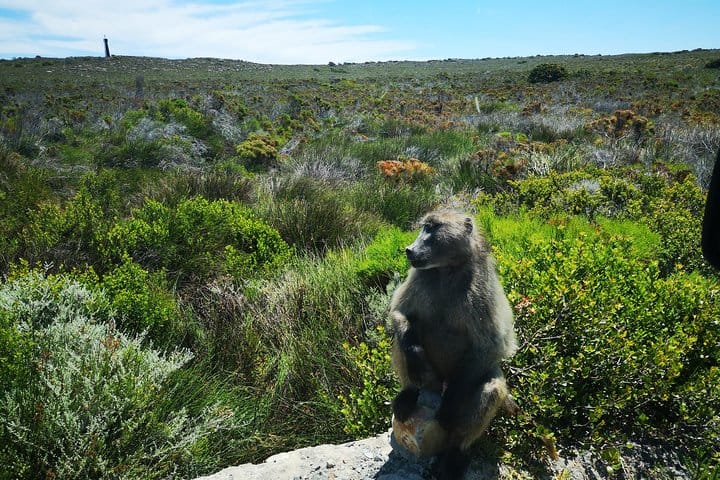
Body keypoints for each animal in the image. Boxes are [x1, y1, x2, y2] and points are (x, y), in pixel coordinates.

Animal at [388, 209, 517, 479]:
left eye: (433, 227)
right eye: (424, 226)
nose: (410, 250)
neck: (446, 270)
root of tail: (441, 383)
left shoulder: (482, 289)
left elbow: (491, 345)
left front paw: (449, 407)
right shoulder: (419, 276)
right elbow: (399, 313)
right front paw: (414, 355)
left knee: (492, 388)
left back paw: (456, 454)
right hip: (432, 381)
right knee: (402, 340)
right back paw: (408, 393)